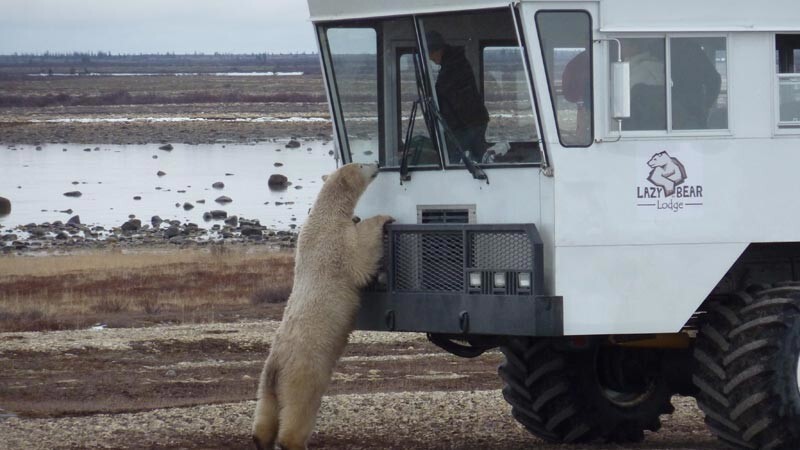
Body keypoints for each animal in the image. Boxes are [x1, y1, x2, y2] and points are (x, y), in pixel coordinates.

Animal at [252, 163, 392, 450]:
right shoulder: (336, 243)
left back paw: (260, 439)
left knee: (265, 411)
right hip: (304, 374)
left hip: (265, 379)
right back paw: (294, 442)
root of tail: (277, 368)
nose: (377, 165)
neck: (322, 214)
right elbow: (361, 255)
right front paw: (383, 219)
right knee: (300, 409)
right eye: (363, 164)